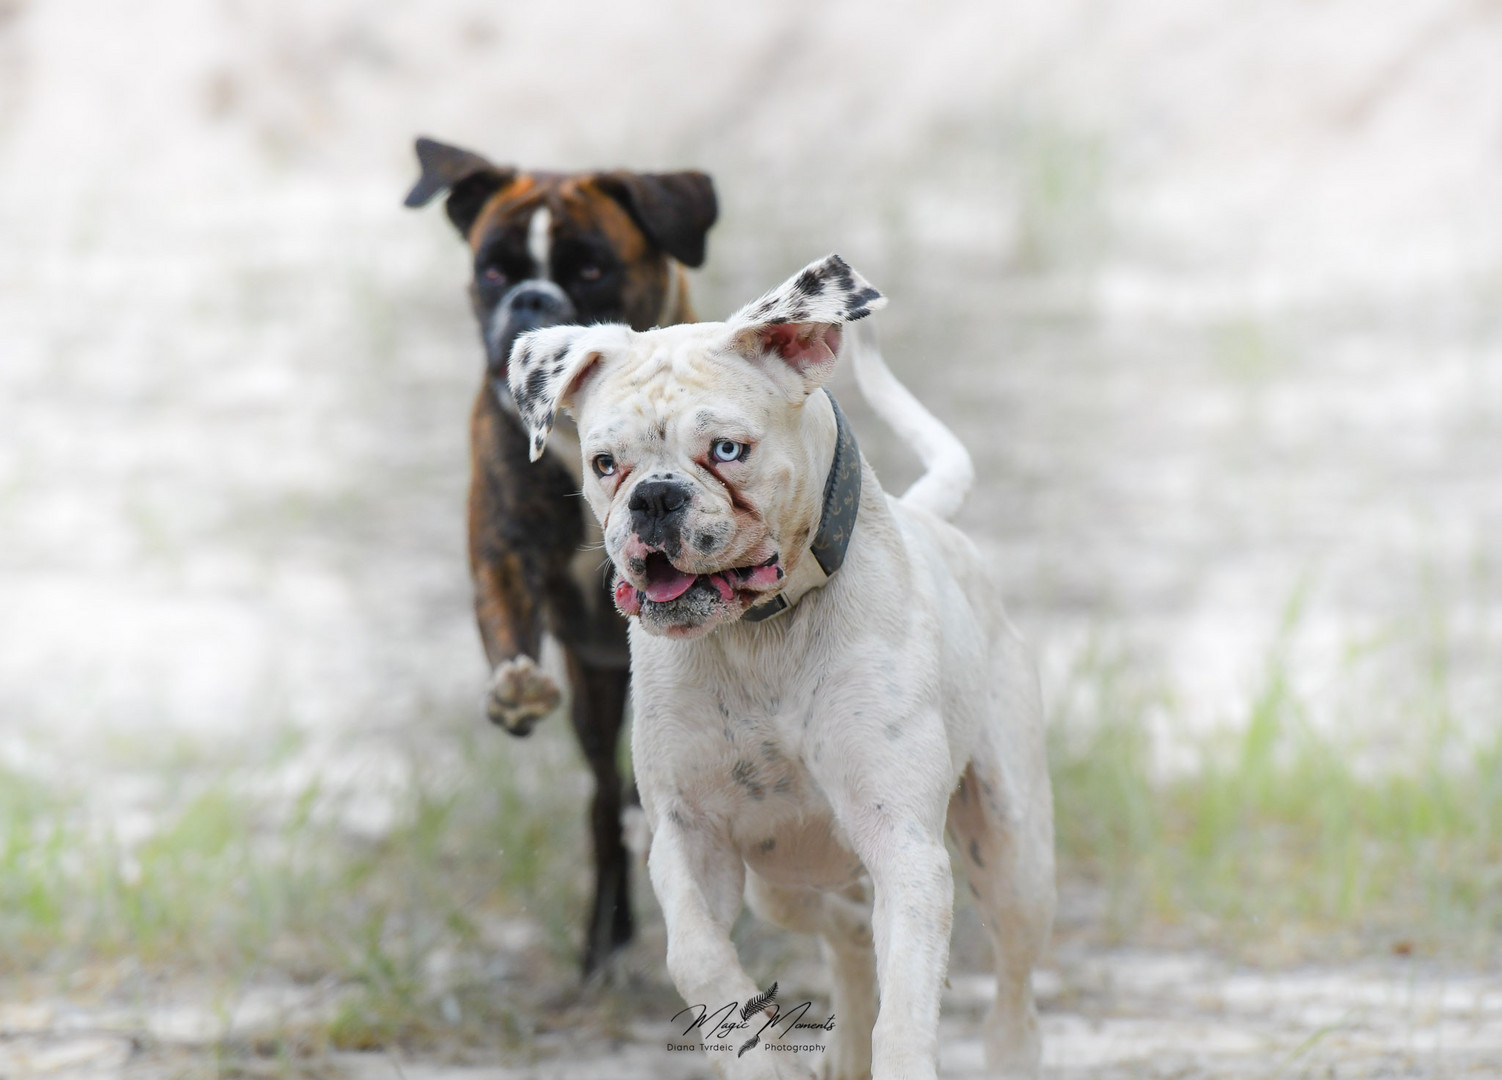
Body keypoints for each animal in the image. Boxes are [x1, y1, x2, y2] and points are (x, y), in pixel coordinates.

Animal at [510, 258, 1051, 1075]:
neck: (758, 636)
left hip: (1010, 851)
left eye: (728, 450)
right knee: (847, 931)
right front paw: (762, 1060)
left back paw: (1007, 1048)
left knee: (1012, 978)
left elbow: (907, 1006)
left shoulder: (903, 843)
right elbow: (698, 959)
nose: (655, 498)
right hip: (781, 876)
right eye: (606, 464)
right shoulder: (688, 837)